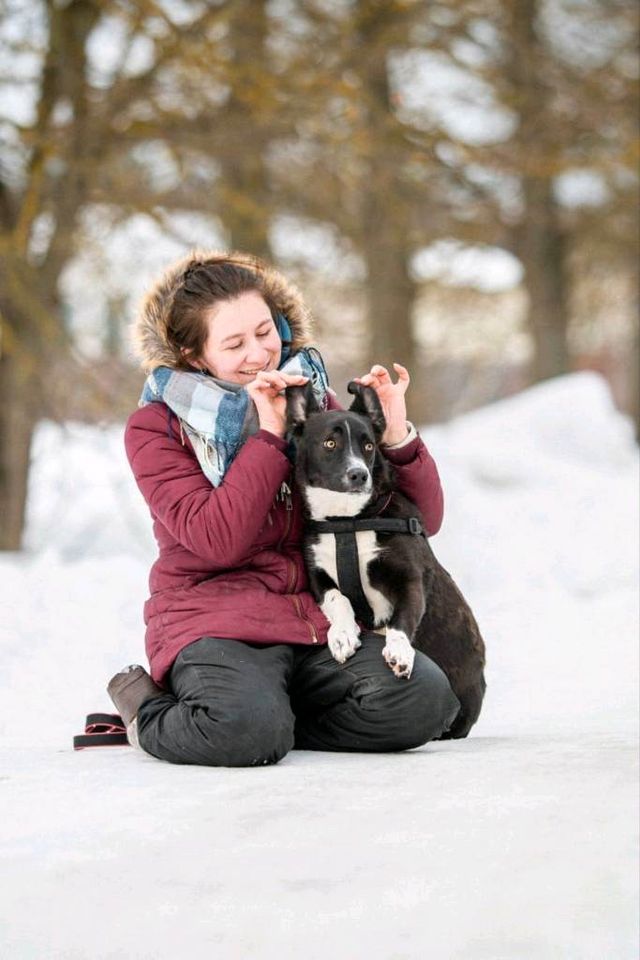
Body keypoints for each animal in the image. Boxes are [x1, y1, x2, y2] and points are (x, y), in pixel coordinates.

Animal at [288, 378, 488, 740]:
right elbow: (338, 600)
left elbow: (401, 619)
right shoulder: (317, 575)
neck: (347, 521)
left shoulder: (409, 580)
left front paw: (398, 651)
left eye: (369, 446)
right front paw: (342, 636)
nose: (359, 475)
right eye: (330, 443)